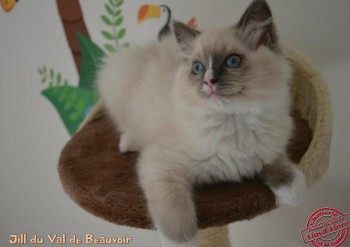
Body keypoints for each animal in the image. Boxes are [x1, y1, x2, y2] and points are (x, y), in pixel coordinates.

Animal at [98, 0, 306, 247]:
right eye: (197, 68)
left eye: (232, 61)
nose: (209, 82)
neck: (233, 122)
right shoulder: (160, 167)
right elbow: (175, 218)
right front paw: (182, 243)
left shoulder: (267, 147)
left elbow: (277, 163)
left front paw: (293, 191)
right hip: (117, 85)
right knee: (125, 126)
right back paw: (126, 144)